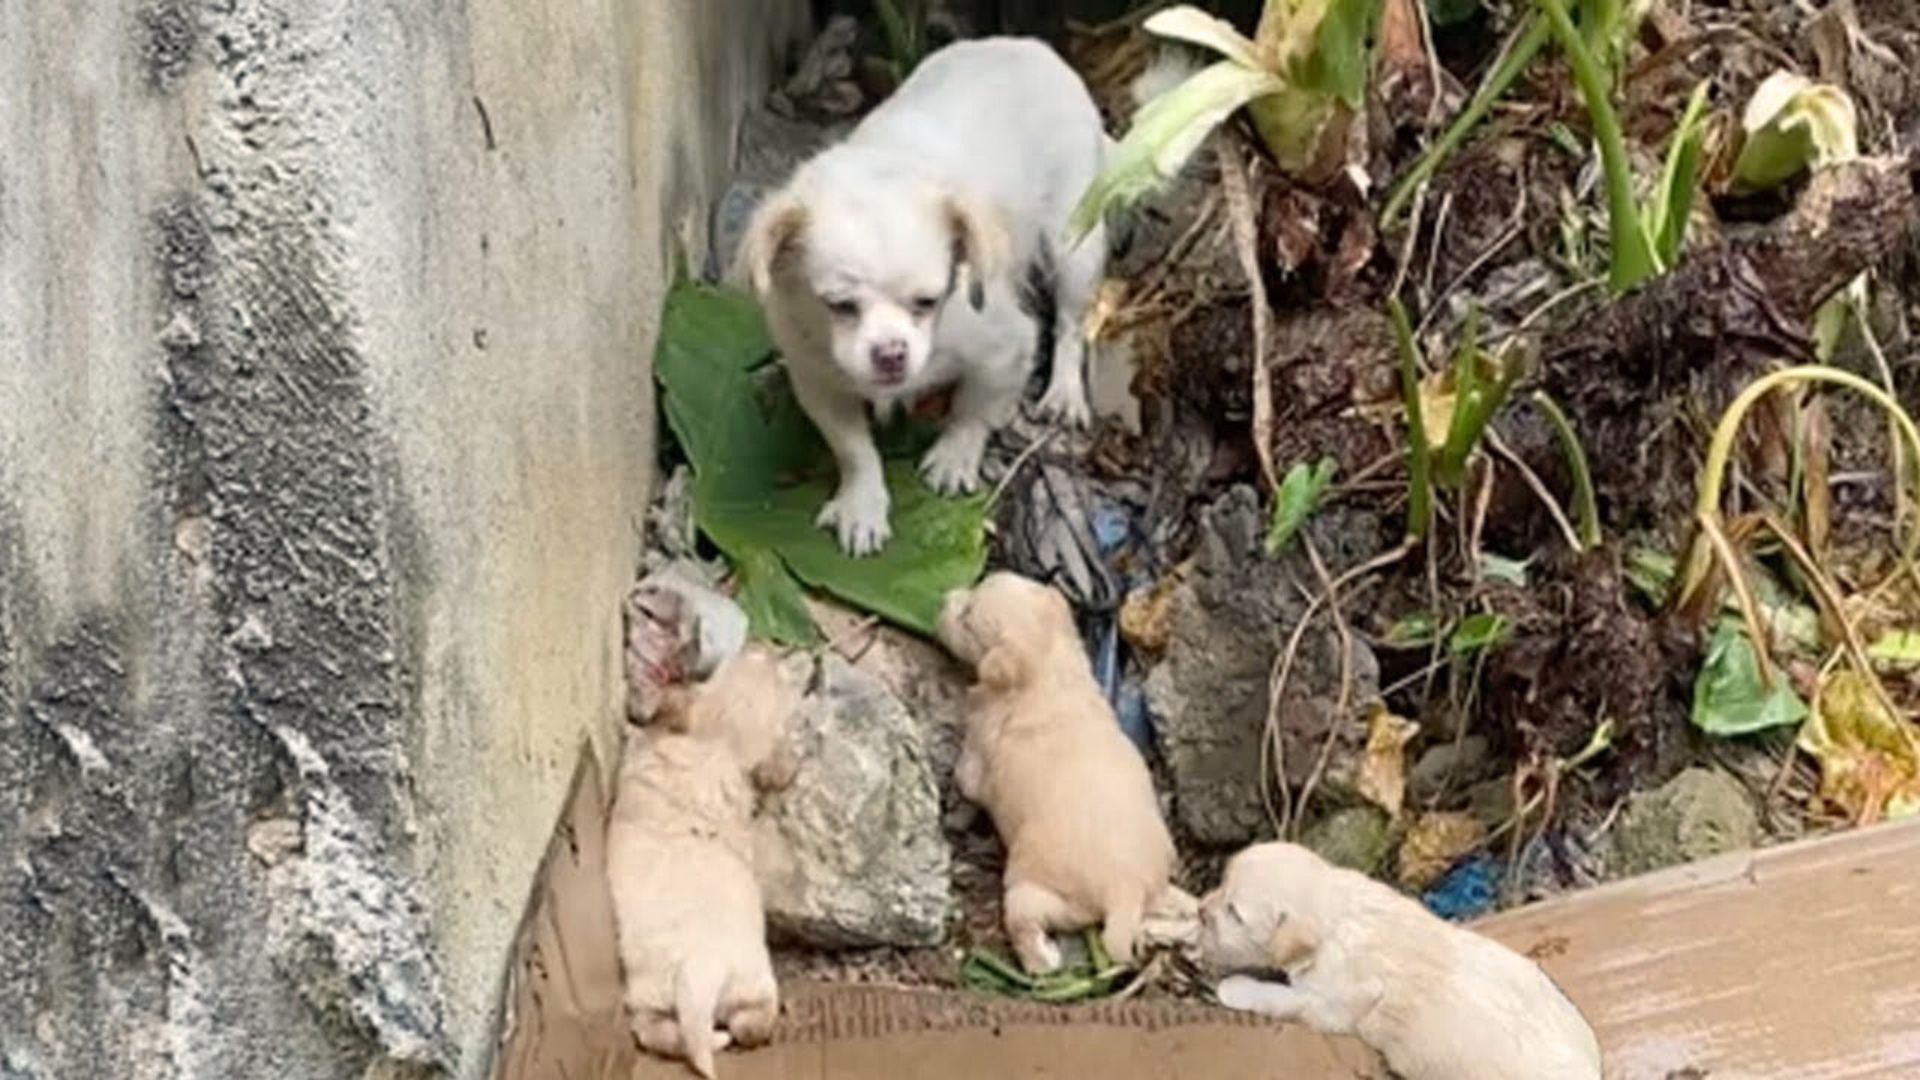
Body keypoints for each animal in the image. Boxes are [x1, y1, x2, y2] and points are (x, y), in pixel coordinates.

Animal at [606, 641, 802, 1068]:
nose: (766, 647)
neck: (714, 750)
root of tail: (701, 971)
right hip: (750, 983)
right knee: (749, 1024)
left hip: (653, 994)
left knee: (664, 1033)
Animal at [741, 35, 1121, 553]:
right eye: (840, 307)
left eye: (928, 301)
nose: (891, 353)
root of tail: (1030, 45)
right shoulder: (818, 379)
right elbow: (853, 448)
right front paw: (863, 504)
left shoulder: (1007, 348)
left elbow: (974, 409)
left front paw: (954, 457)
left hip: (1072, 244)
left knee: (1069, 323)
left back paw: (1063, 392)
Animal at [936, 568, 1190, 972]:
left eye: (966, 618)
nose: (944, 599)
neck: (1047, 669)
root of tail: (1126, 889)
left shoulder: (976, 753)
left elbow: (966, 783)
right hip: (1158, 885)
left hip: (1033, 892)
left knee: (1024, 922)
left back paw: (1040, 960)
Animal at [1198, 841, 1605, 1076]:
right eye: (1221, 881)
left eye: (1235, 914)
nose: (1200, 910)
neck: (1337, 911)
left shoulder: (1331, 1006)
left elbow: (1282, 998)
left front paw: (1234, 987)